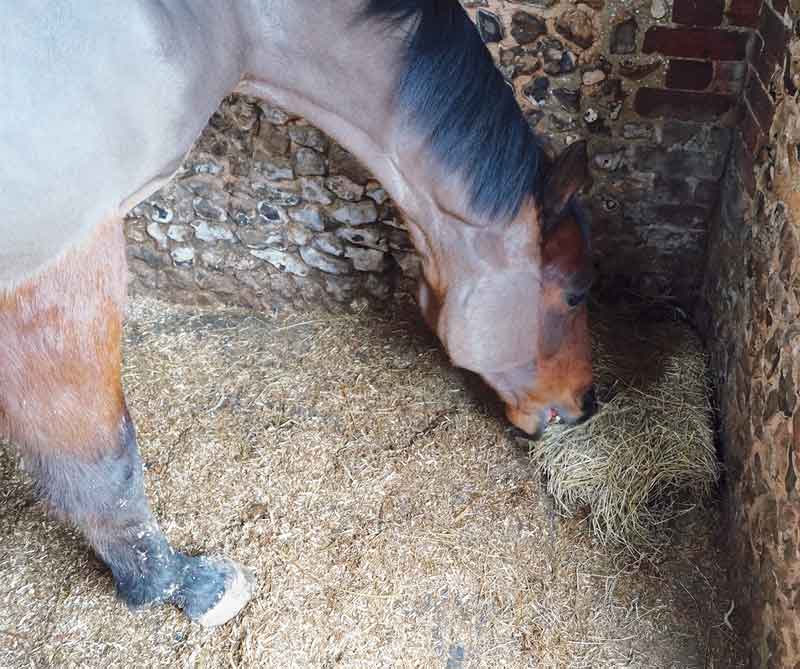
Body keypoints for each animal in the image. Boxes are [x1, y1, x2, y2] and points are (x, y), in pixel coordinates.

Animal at [0, 0, 592, 628]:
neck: (209, 22)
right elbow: (101, 453)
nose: (588, 401)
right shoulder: (65, 249)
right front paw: (176, 583)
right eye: (578, 292)